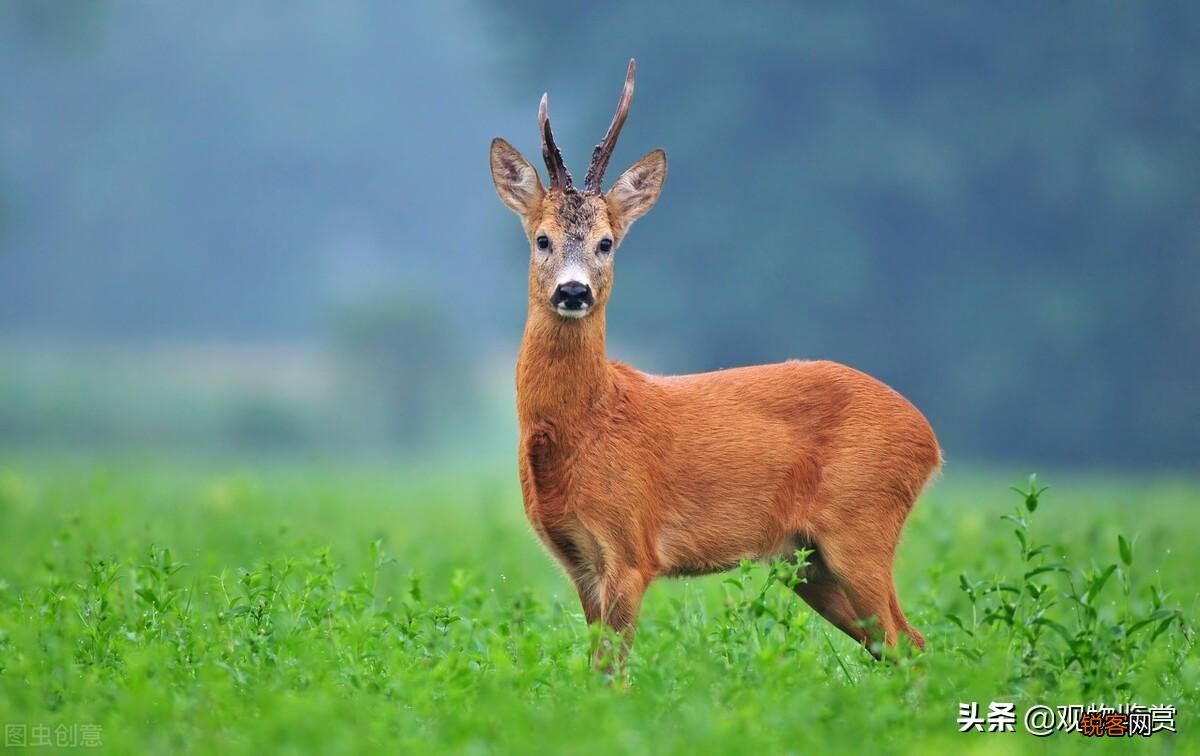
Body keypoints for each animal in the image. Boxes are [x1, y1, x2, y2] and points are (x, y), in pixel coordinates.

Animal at [489, 59, 941, 666]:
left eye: (607, 242)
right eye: (542, 239)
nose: (574, 291)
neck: (586, 422)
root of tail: (930, 440)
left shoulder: (632, 548)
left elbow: (613, 671)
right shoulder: (578, 560)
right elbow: (594, 665)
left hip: (862, 523)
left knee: (903, 640)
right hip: (809, 562)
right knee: (904, 643)